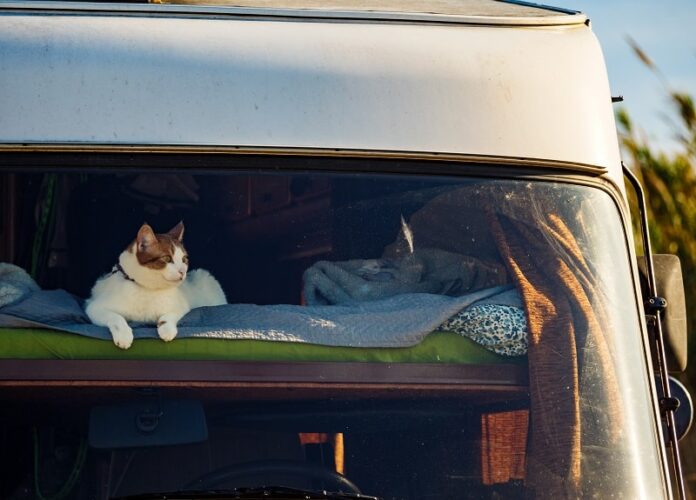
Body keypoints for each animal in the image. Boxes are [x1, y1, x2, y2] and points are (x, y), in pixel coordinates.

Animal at [84, 223, 226, 348]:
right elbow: (115, 317)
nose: (183, 271)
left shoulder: (181, 306)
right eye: (167, 258)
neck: (148, 289)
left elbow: (169, 315)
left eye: (184, 260)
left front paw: (167, 329)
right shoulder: (93, 307)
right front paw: (124, 335)